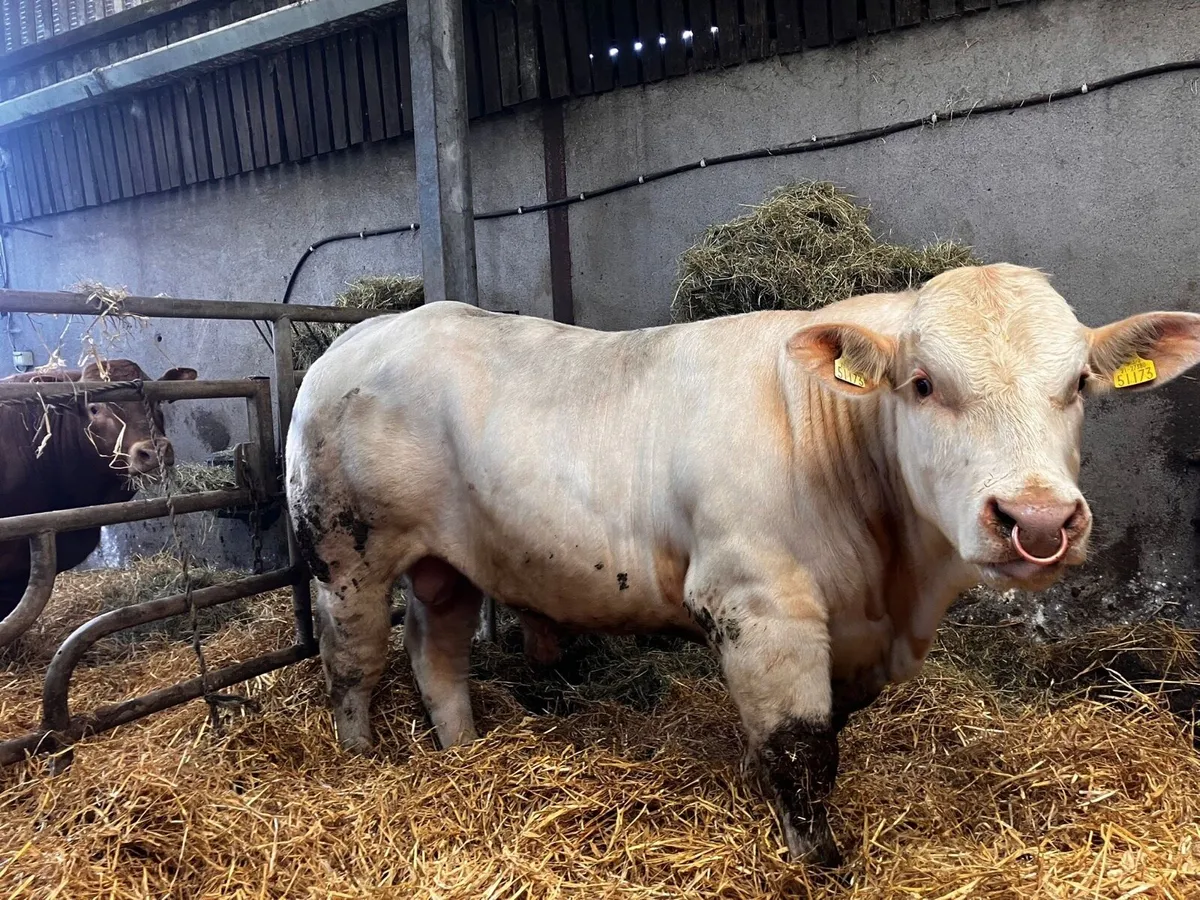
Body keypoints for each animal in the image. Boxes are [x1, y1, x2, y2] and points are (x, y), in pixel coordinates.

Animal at [285, 264, 1200, 867]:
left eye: (1079, 383)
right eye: (922, 383)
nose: (1038, 520)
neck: (896, 588)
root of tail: (360, 335)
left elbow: (806, 737)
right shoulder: (761, 605)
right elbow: (804, 747)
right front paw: (819, 861)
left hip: (449, 565)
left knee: (435, 656)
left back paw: (465, 752)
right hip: (344, 552)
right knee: (354, 662)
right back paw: (360, 762)